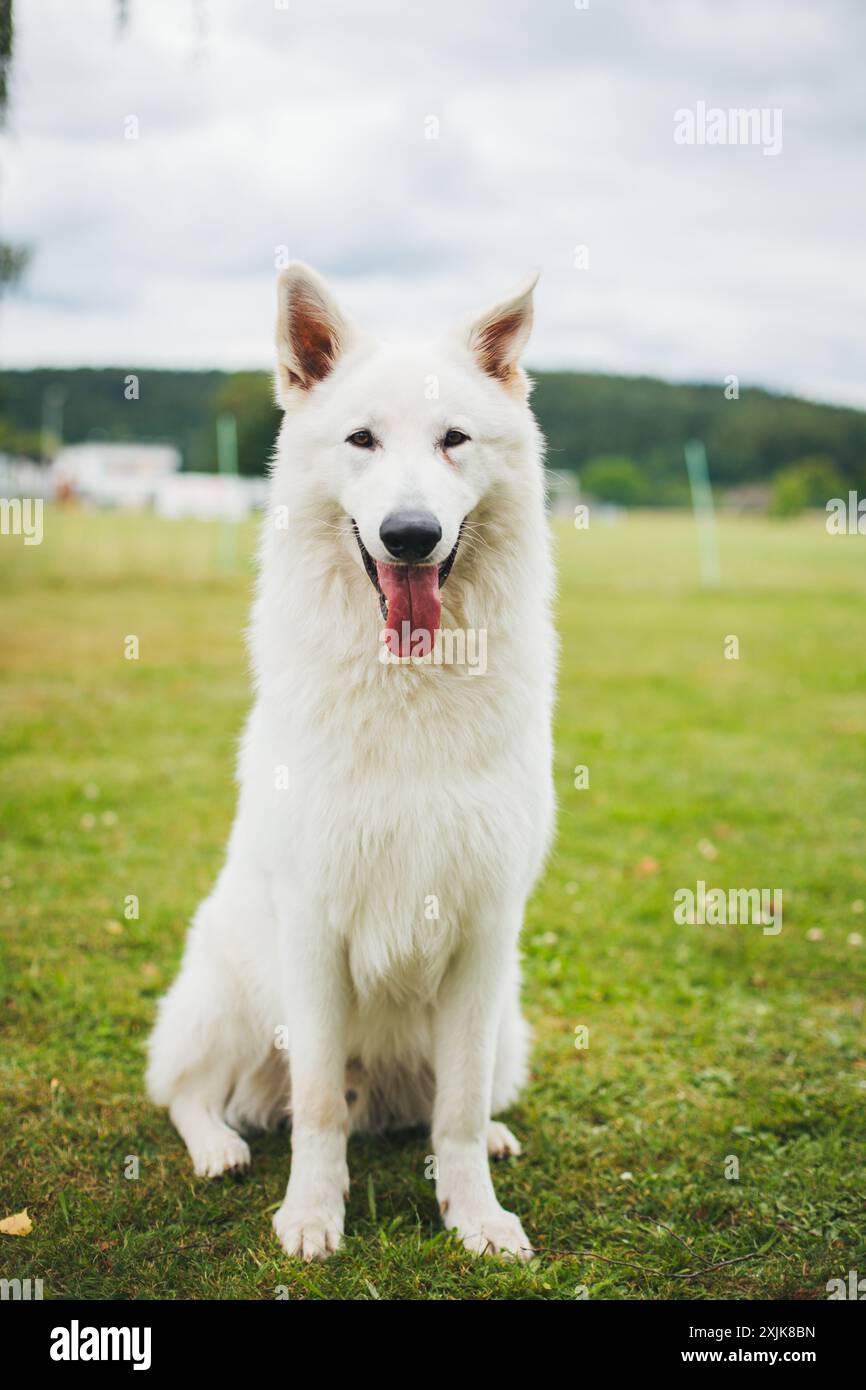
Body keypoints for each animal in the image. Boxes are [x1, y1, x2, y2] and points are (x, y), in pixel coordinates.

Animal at [144, 265, 556, 1267]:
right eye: (361, 439)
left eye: (454, 440)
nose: (409, 535)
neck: (408, 685)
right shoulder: (314, 927)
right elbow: (319, 1104)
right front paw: (313, 1214)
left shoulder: (484, 933)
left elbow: (454, 1111)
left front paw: (474, 1214)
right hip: (230, 989)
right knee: (189, 1090)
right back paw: (218, 1147)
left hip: (509, 1021)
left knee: (458, 1100)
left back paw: (488, 1135)